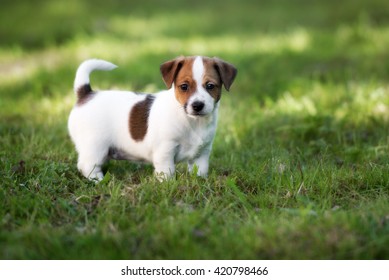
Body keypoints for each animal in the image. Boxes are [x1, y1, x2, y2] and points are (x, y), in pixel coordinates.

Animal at [68, 56, 236, 182]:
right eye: (184, 86)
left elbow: (200, 171)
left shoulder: (202, 153)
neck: (192, 121)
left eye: (210, 86)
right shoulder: (165, 151)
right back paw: (98, 179)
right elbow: (167, 172)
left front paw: (200, 182)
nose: (197, 105)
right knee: (86, 165)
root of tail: (86, 94)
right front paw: (168, 186)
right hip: (95, 146)